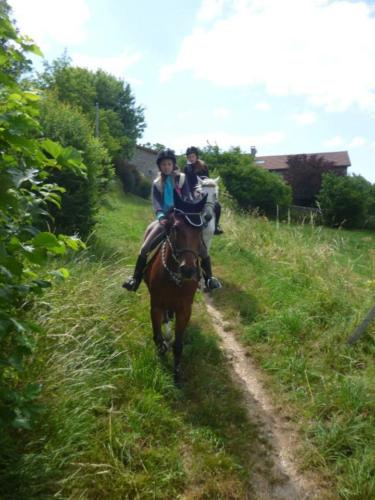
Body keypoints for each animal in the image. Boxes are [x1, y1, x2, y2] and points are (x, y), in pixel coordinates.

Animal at [145, 194, 209, 382]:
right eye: (175, 228)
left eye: (200, 229)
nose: (188, 270)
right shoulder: (156, 306)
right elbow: (157, 336)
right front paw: (161, 351)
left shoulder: (184, 310)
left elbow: (178, 345)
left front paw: (177, 373)